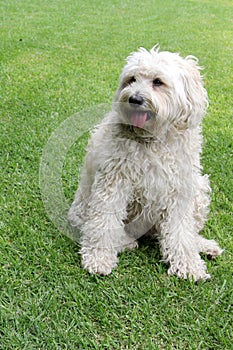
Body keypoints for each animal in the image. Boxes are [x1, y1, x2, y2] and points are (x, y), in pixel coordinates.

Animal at [68, 47, 223, 282]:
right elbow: (104, 222)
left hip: (198, 187)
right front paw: (99, 259)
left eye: (158, 82)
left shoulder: (179, 189)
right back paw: (124, 242)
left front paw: (188, 265)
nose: (134, 98)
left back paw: (203, 245)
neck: (154, 139)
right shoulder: (113, 182)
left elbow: (181, 232)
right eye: (132, 79)